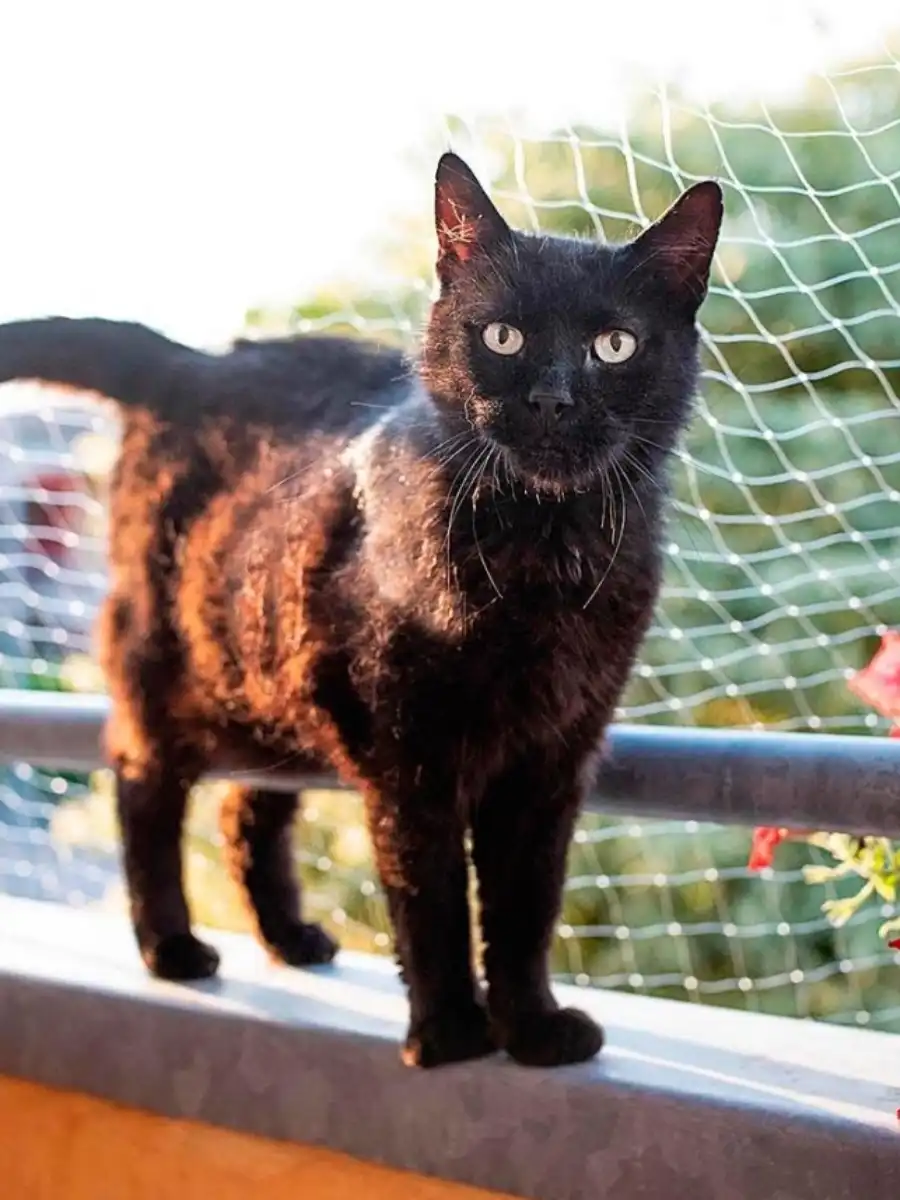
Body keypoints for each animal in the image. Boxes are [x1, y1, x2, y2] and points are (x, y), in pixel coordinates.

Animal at [0, 152, 724, 1070]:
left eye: (615, 345)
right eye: (503, 336)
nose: (554, 399)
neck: (539, 553)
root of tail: (196, 364)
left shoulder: (553, 757)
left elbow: (526, 905)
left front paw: (531, 1028)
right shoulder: (412, 752)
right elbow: (432, 896)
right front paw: (450, 1032)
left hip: (274, 672)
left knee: (246, 808)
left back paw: (289, 936)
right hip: (168, 665)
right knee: (144, 788)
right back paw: (172, 948)